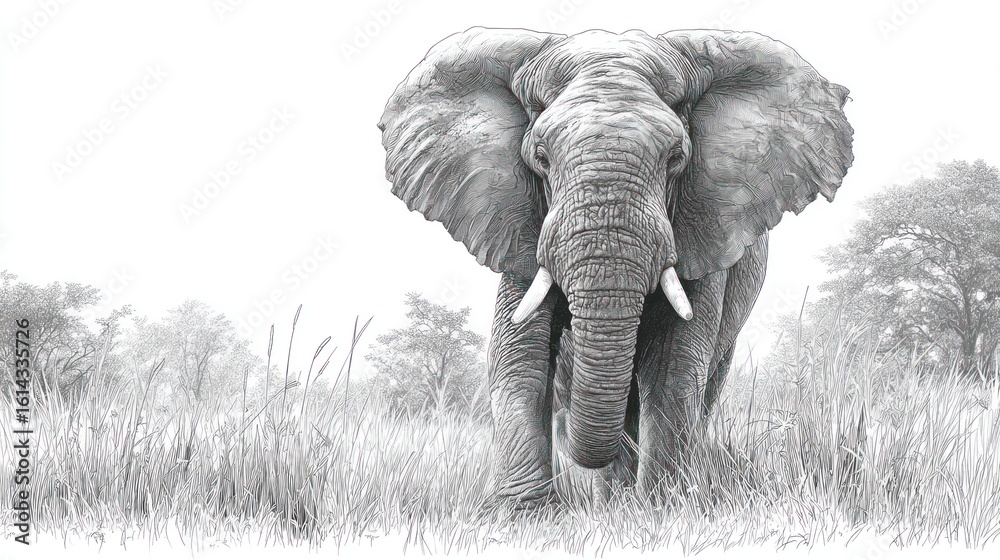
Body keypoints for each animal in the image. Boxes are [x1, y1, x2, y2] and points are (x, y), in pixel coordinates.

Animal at [378, 27, 853, 505]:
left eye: (676, 159)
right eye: (541, 159)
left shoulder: (703, 227)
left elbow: (672, 366)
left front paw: (663, 507)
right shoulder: (519, 224)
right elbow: (519, 356)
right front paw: (526, 512)